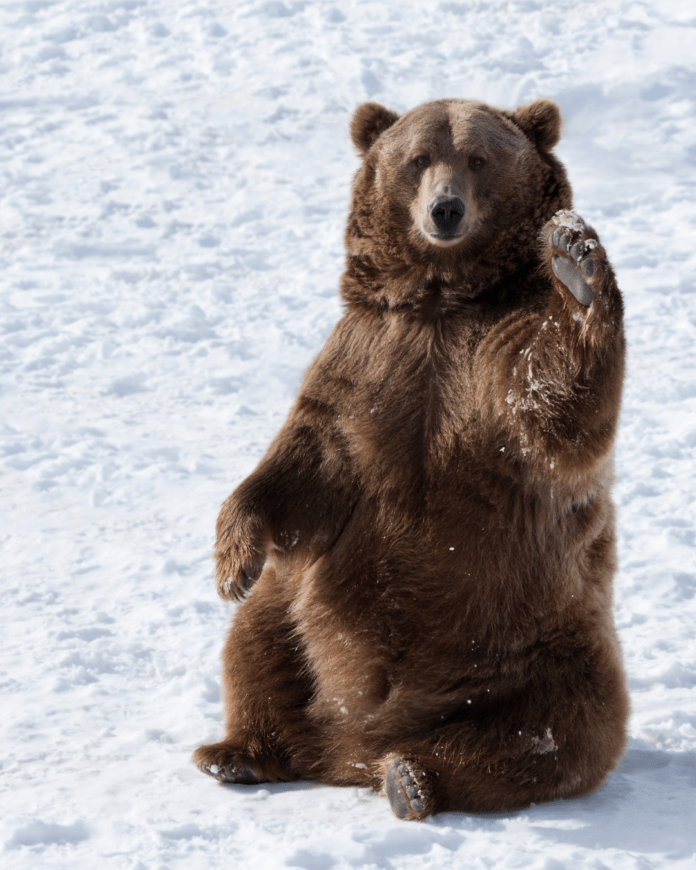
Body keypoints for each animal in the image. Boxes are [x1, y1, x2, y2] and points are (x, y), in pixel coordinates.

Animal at [193, 97, 629, 821]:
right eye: (419, 157)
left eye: (478, 158)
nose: (445, 209)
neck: (440, 300)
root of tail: (350, 747)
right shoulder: (367, 358)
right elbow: (304, 460)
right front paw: (232, 562)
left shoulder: (491, 357)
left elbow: (556, 407)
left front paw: (575, 262)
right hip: (296, 614)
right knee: (257, 645)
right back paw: (238, 751)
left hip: (541, 648)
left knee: (554, 734)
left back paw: (413, 778)